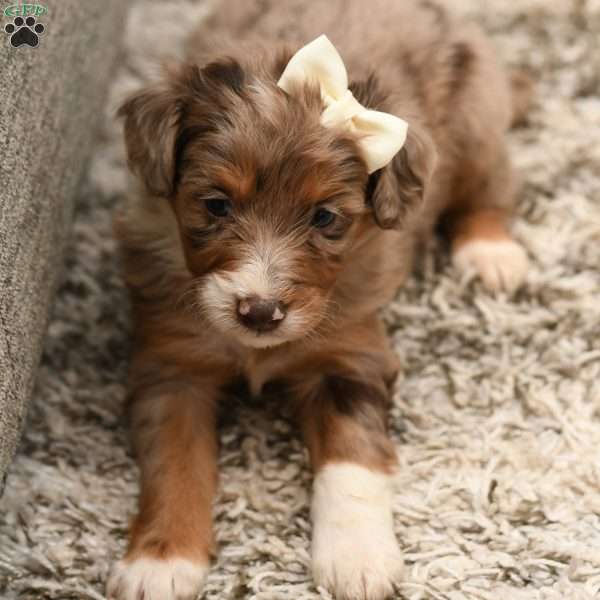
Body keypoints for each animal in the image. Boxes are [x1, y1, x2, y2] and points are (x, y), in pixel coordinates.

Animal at [106, 1, 528, 600]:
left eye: (325, 218)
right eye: (215, 205)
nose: (260, 312)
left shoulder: (348, 357)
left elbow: (351, 460)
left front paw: (357, 558)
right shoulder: (171, 366)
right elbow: (174, 462)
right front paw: (161, 562)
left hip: (476, 122)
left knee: (489, 186)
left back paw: (491, 253)